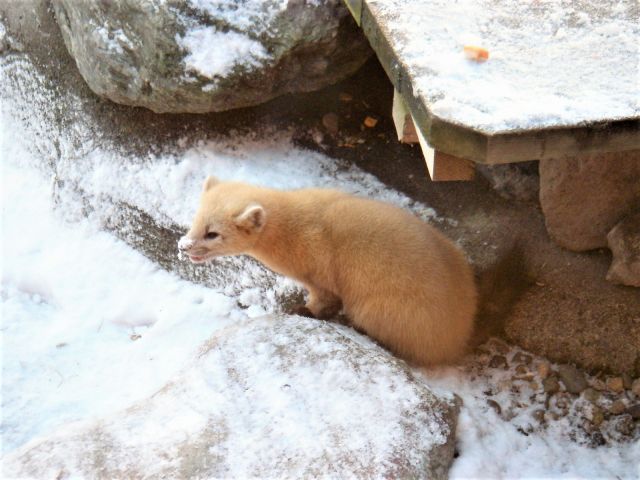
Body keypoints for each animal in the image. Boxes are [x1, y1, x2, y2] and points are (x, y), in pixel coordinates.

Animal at [179, 176, 527, 366]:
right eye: (195, 218)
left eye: (213, 233)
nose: (184, 246)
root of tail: (461, 332)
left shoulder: (318, 268)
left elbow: (322, 299)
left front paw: (301, 310)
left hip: (382, 308)